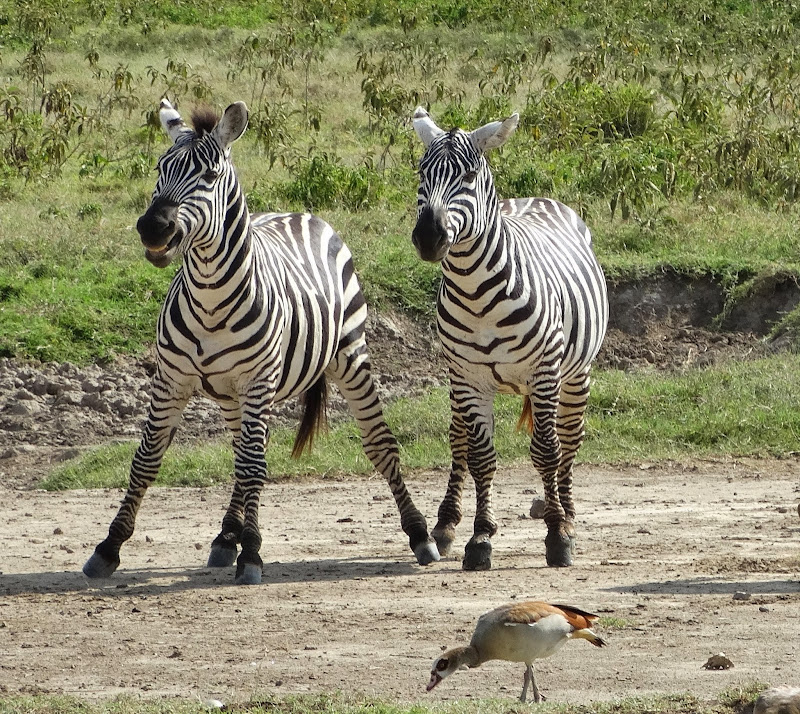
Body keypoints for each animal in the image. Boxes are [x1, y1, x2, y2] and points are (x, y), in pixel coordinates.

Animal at [81, 98, 438, 584]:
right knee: (243, 454)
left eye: (210, 176)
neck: (210, 299)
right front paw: (109, 546)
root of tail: (303, 214)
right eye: (160, 168)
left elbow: (254, 468)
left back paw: (420, 534)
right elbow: (147, 459)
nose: (153, 228)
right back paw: (225, 536)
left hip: (347, 355)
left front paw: (252, 554)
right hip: (237, 394)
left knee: (378, 445)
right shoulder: (171, 379)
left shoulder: (256, 380)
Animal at [410, 105, 608, 572]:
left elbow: (547, 452)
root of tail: (537, 198)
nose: (429, 237)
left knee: (568, 439)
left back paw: (567, 514)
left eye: (468, 175)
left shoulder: (544, 372)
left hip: (576, 375)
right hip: (461, 384)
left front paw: (557, 536)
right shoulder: (469, 378)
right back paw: (445, 525)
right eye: (421, 172)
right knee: (459, 441)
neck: (476, 292)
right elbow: (481, 458)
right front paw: (480, 538)